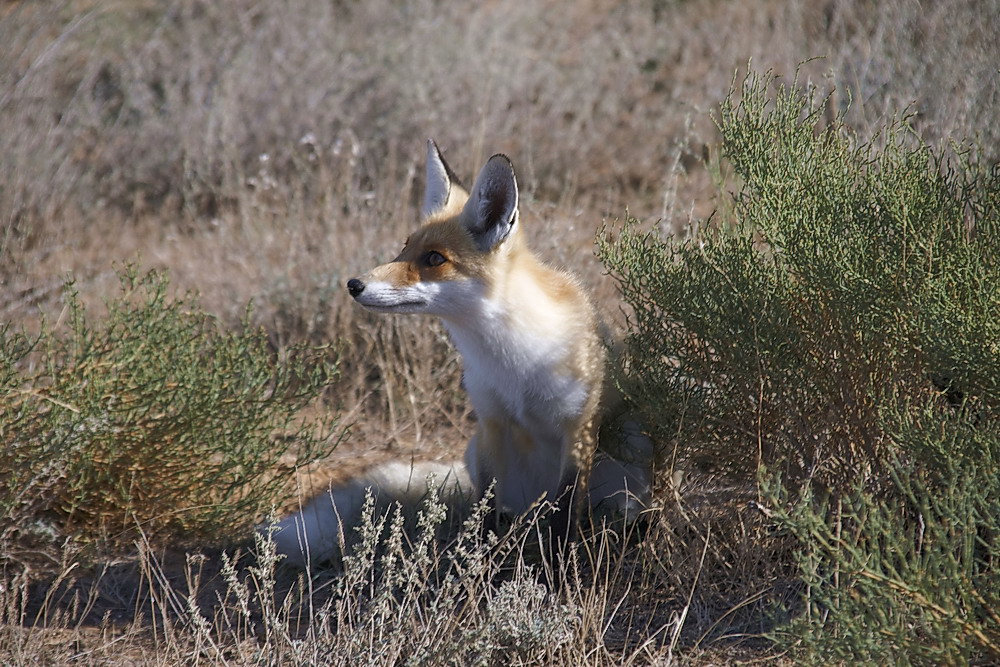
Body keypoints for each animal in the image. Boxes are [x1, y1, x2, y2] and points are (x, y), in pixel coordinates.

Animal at [270, 141, 652, 568]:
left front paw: (558, 566)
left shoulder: (578, 428)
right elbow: (484, 509)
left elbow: (566, 513)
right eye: (405, 247)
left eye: (434, 259)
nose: (354, 285)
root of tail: (533, 502)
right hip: (477, 452)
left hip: (634, 445)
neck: (510, 360)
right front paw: (476, 560)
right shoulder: (491, 422)